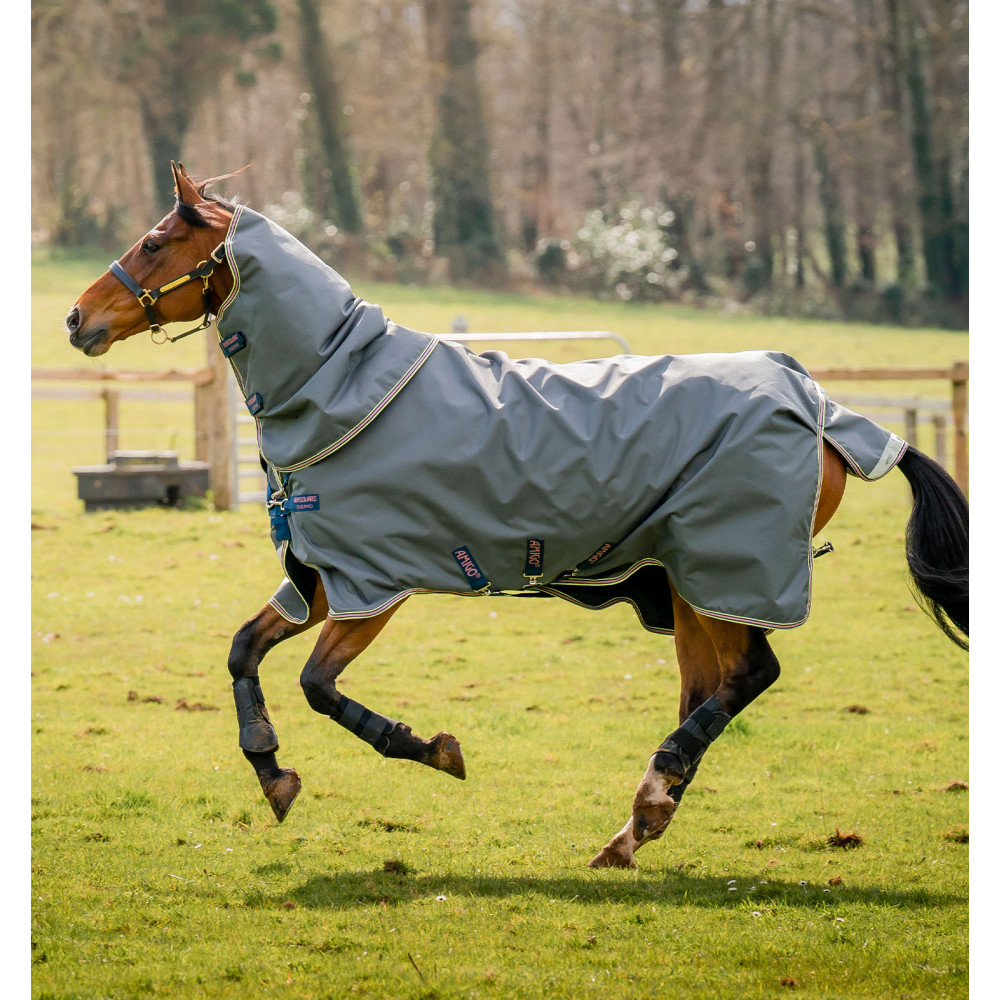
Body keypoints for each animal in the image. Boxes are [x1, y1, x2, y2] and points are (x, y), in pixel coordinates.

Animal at [66, 163, 969, 869]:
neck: (344, 386)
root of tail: (819, 404)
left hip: (728, 574)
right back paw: (637, 825)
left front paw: (429, 749)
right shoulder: (320, 576)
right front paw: (272, 772)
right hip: (692, 587)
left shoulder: (375, 585)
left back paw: (650, 798)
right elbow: (243, 651)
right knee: (708, 690)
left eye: (155, 242)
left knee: (751, 676)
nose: (78, 318)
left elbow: (318, 685)